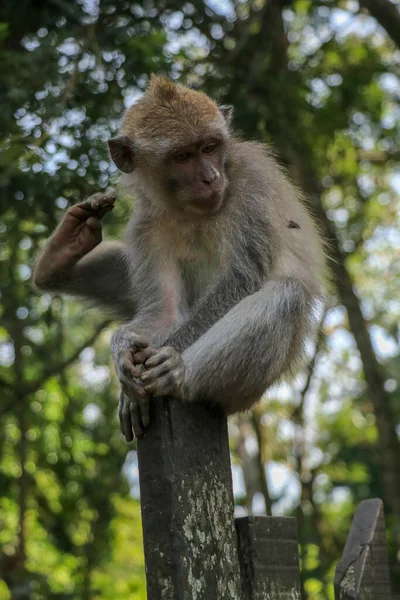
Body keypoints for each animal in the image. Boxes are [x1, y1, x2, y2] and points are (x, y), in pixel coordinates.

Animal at [33, 74, 324, 440]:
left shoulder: (252, 186)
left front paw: (144, 376)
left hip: (250, 389)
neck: (191, 210)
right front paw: (122, 347)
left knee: (287, 295)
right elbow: (164, 311)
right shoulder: (146, 224)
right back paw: (58, 258)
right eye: (183, 156)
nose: (211, 177)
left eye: (210, 148)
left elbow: (240, 282)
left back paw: (180, 373)